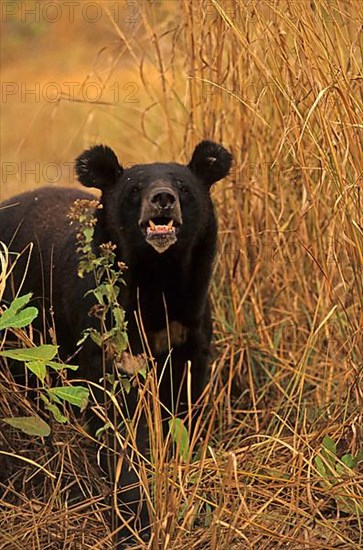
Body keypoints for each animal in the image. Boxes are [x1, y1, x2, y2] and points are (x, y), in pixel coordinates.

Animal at [0, 141, 233, 548]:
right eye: (135, 189)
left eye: (183, 188)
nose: (162, 199)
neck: (158, 279)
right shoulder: (99, 336)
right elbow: (115, 425)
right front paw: (135, 522)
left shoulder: (190, 330)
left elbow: (185, 410)